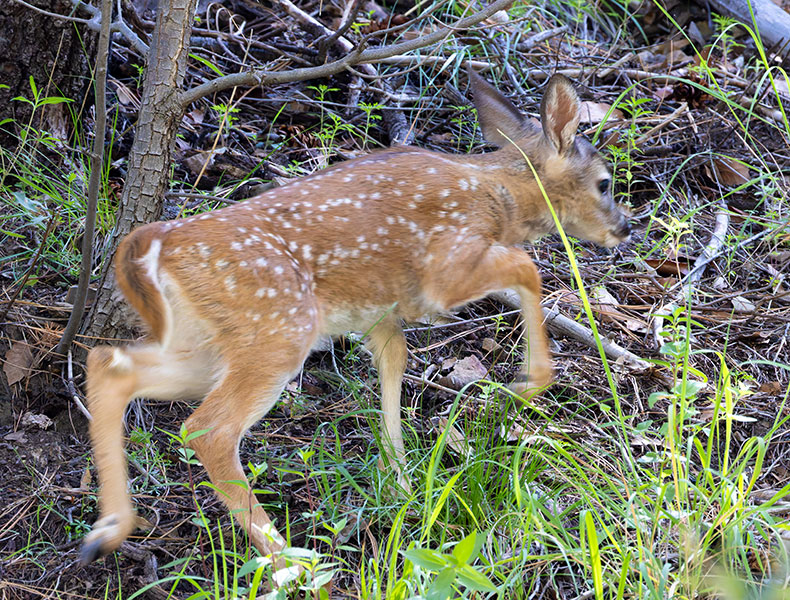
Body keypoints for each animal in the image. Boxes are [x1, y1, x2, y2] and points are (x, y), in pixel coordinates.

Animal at [80, 71, 631, 566]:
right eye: (605, 183)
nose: (625, 227)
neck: (502, 197)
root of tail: (155, 242)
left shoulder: (379, 312)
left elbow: (394, 361)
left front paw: (402, 482)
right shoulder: (446, 265)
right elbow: (527, 268)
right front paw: (525, 385)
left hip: (205, 342)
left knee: (110, 364)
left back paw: (106, 533)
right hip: (277, 327)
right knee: (208, 428)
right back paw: (289, 563)